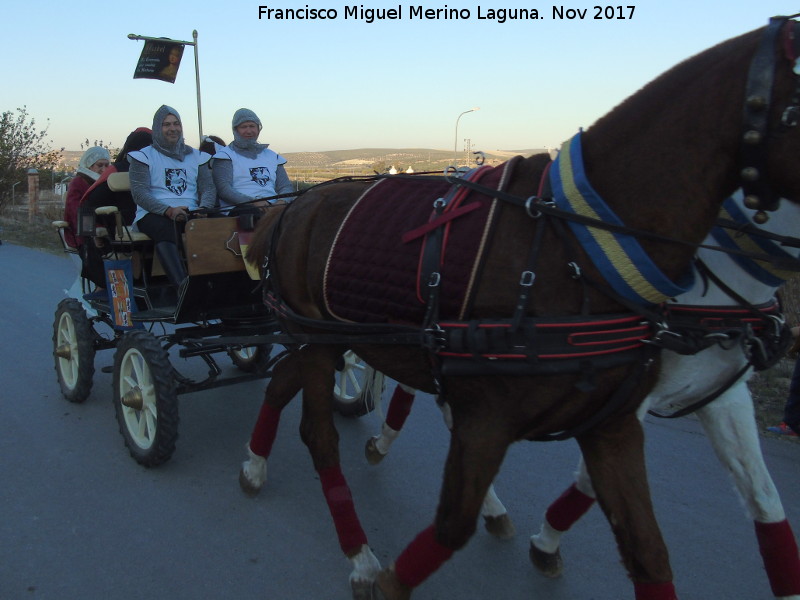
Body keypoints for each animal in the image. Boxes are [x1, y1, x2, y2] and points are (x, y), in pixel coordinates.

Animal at [241, 18, 800, 600]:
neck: (579, 248)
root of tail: (294, 203)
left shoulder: (619, 422)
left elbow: (663, 546)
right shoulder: (488, 417)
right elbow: (452, 524)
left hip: (334, 339)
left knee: (284, 381)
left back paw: (256, 465)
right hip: (318, 340)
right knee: (319, 436)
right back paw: (360, 553)